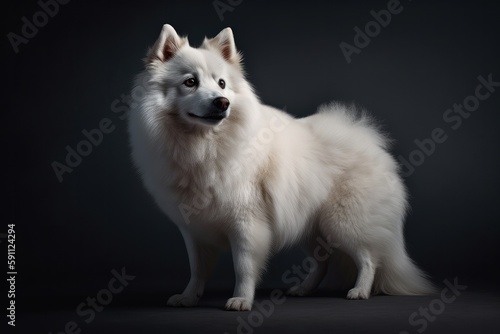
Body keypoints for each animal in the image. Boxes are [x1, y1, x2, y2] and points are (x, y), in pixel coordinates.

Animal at [128, 23, 434, 310]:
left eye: (222, 83)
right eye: (190, 82)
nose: (222, 102)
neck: (203, 146)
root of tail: (368, 139)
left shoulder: (246, 223)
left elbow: (243, 267)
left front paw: (241, 299)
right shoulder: (194, 230)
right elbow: (197, 269)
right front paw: (189, 297)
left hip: (343, 223)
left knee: (368, 258)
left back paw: (360, 291)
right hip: (311, 226)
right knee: (323, 261)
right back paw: (303, 289)